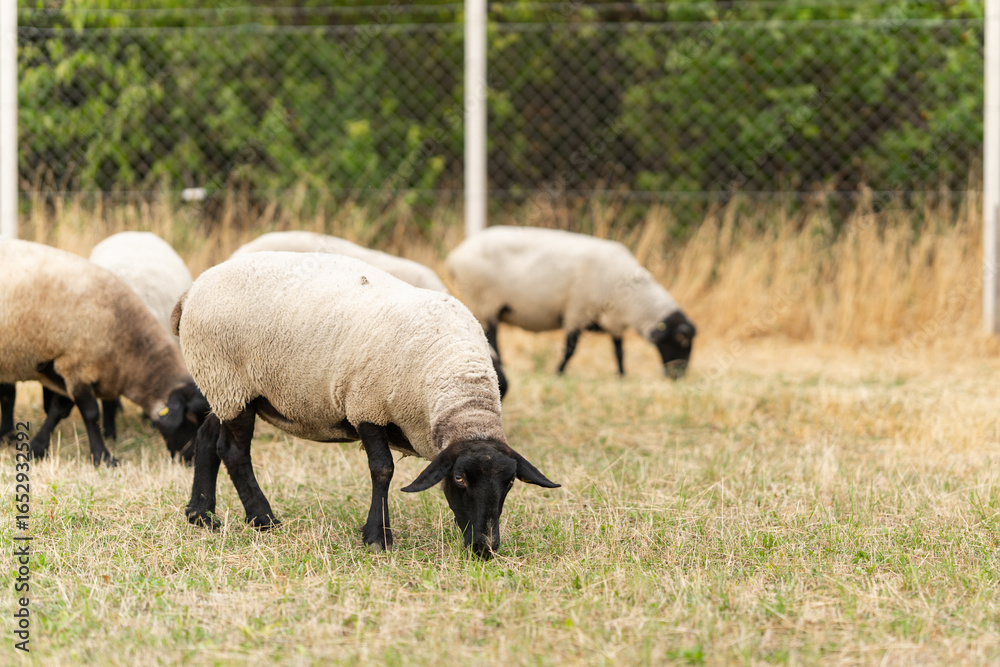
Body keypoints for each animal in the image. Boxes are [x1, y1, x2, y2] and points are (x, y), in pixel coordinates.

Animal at [173, 251, 558, 559]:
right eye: (460, 478)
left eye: (509, 483)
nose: (486, 548)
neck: (455, 379)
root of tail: (193, 289)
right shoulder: (367, 407)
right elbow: (382, 470)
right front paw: (377, 537)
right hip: (228, 380)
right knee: (235, 451)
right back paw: (262, 519)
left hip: (228, 390)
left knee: (208, 437)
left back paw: (201, 515)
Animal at [446, 225, 697, 378]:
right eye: (681, 341)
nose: (679, 376)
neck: (635, 300)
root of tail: (455, 256)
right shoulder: (577, 312)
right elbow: (570, 350)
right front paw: (558, 373)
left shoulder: (613, 321)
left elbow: (619, 351)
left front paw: (622, 376)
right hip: (485, 301)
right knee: (492, 336)